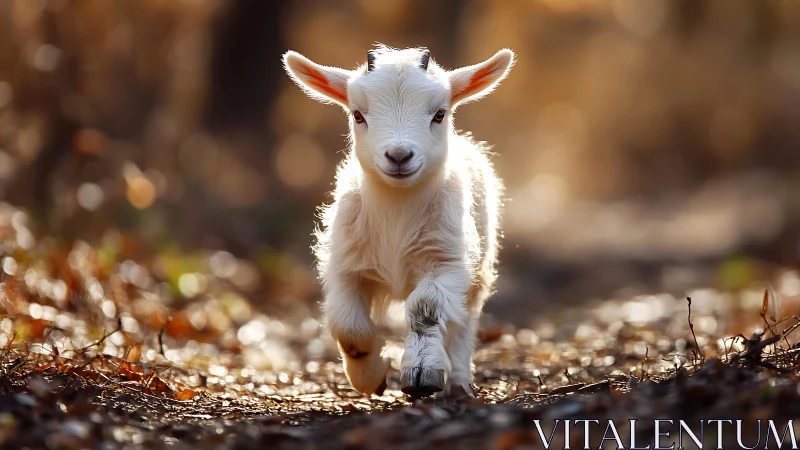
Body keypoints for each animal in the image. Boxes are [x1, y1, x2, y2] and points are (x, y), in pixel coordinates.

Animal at [283, 46, 514, 398]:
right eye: (358, 115)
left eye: (439, 114)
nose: (399, 156)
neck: (397, 210)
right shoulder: (345, 265)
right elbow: (348, 326)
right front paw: (370, 377)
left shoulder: (447, 261)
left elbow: (425, 309)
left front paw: (422, 375)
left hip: (479, 267)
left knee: (464, 322)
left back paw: (458, 382)